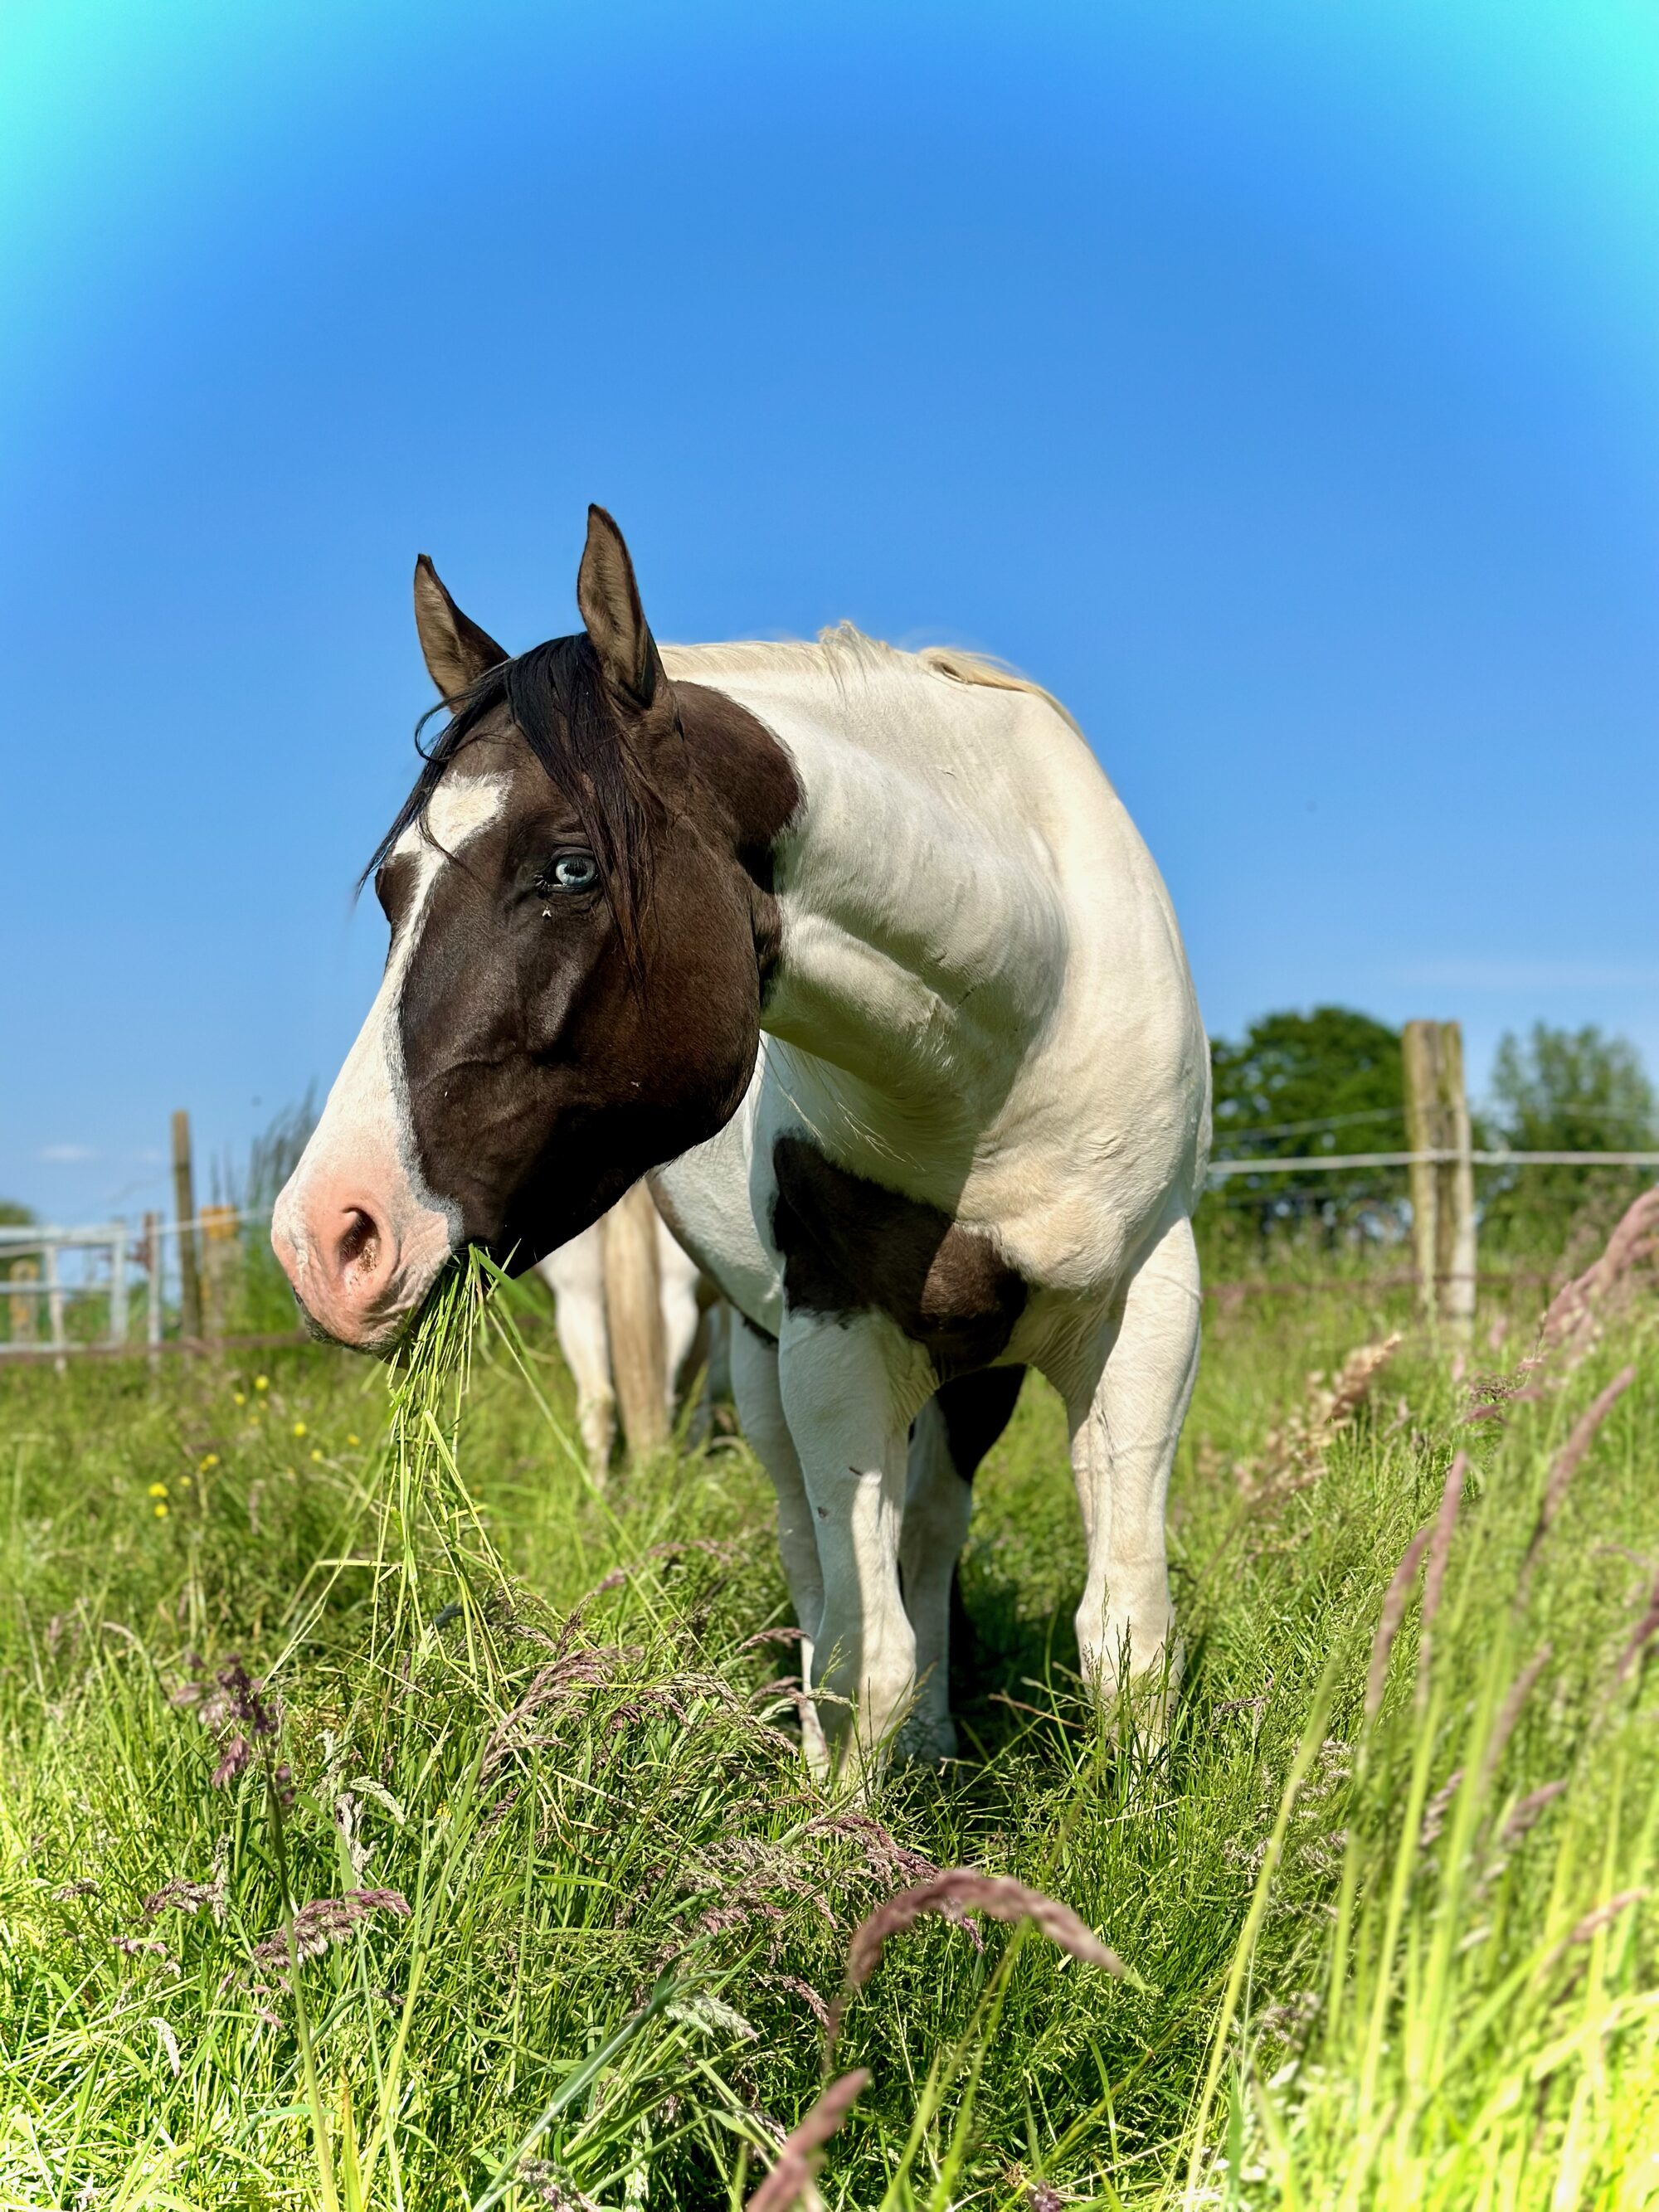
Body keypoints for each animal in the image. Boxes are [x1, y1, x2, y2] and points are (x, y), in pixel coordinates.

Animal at [272, 506, 1211, 1766]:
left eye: (570, 868)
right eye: (393, 886)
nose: (329, 1236)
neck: (1017, 1028)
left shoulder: (1147, 1304)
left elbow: (1124, 1635)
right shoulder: (829, 1339)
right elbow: (863, 1657)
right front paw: (836, 1816)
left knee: (930, 1530)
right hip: (761, 1362)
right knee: (817, 1564)